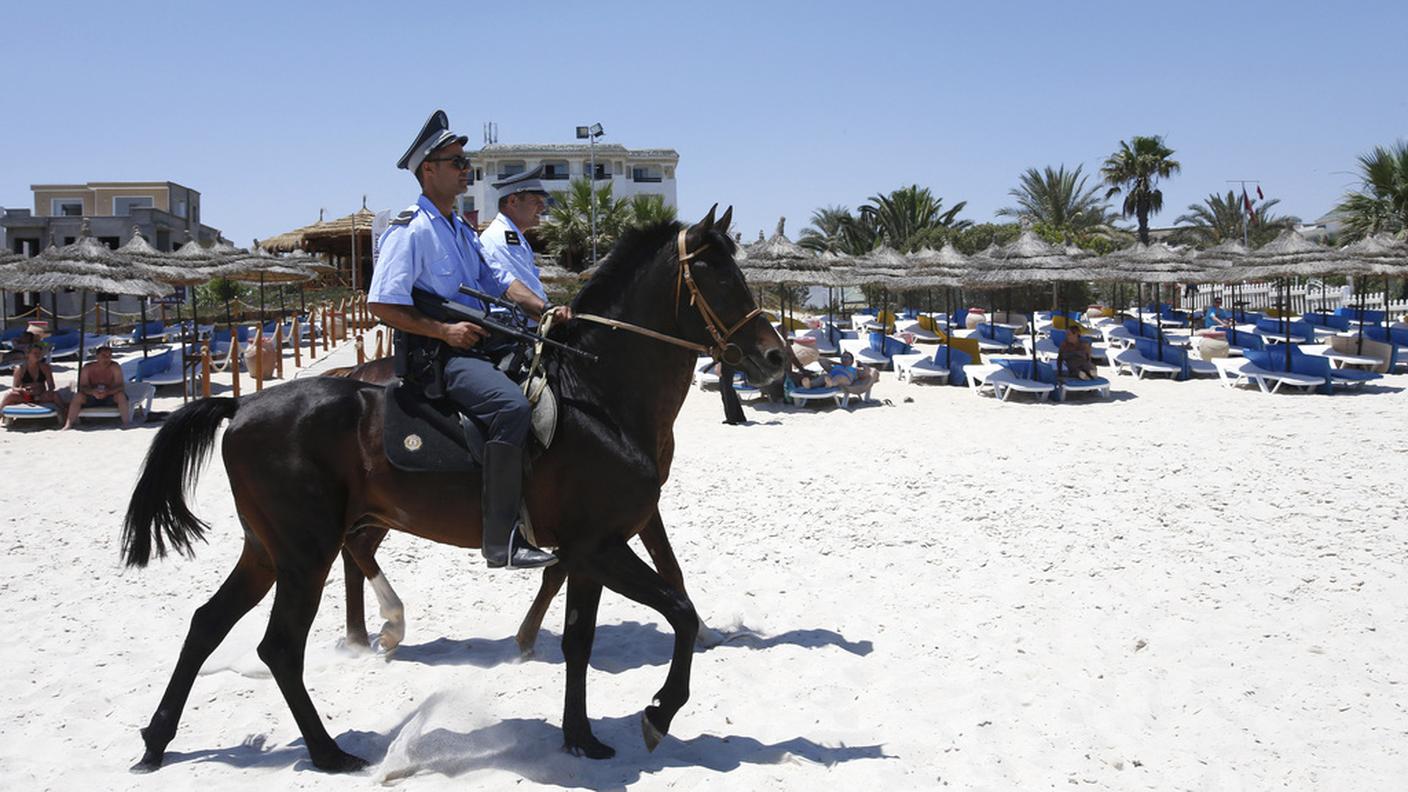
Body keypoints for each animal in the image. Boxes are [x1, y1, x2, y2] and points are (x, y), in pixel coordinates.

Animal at [326, 355, 726, 656]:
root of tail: (355, 373)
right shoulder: (591, 527)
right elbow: (563, 572)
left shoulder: (615, 519)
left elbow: (666, 566)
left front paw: (704, 631)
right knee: (355, 548)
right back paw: (389, 624)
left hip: (383, 511)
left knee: (355, 549)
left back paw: (359, 637)